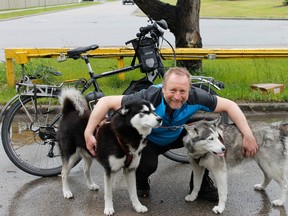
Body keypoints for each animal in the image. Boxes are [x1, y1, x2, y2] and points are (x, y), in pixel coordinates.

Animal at [56, 88, 162, 216]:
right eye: (145, 112)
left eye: (154, 111)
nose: (160, 119)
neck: (125, 133)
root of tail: (69, 111)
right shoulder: (109, 170)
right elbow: (108, 193)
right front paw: (108, 208)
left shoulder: (130, 170)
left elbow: (133, 193)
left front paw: (138, 206)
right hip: (71, 156)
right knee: (63, 174)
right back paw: (66, 192)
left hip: (89, 154)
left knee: (85, 170)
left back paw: (91, 185)